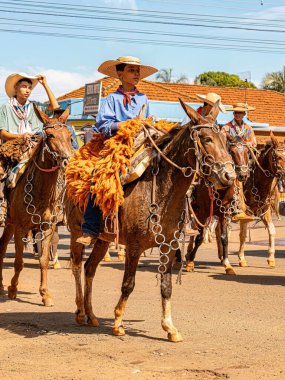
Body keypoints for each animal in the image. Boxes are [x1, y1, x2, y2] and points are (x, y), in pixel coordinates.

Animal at [0, 106, 72, 306]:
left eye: (69, 135)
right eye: (50, 135)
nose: (67, 161)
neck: (41, 192)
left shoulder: (47, 227)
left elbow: (44, 261)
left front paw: (45, 294)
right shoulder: (21, 228)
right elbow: (18, 262)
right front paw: (13, 289)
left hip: (9, 223)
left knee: (1, 247)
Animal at [66, 100, 235, 342]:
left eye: (225, 139)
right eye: (206, 139)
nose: (230, 176)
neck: (162, 191)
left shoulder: (169, 246)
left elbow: (166, 286)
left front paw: (170, 327)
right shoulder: (134, 247)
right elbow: (128, 284)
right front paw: (118, 323)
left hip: (104, 239)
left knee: (90, 269)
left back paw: (91, 315)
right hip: (76, 234)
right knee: (77, 266)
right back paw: (80, 312)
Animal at [184, 133, 248, 274]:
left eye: (246, 151)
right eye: (232, 151)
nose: (243, 174)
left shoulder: (225, 212)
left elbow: (224, 237)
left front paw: (227, 264)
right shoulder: (203, 212)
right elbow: (199, 237)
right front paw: (190, 261)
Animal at [236, 134, 284, 268]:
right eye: (278, 156)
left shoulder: (264, 210)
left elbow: (272, 230)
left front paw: (271, 258)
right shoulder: (245, 213)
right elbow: (243, 234)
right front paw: (241, 258)